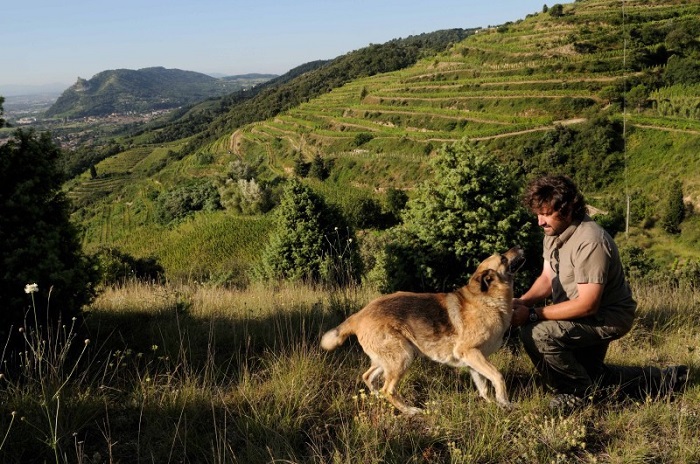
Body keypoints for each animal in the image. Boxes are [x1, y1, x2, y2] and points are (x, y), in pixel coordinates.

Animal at [320, 248, 524, 416]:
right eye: (503, 258)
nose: (520, 247)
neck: (488, 300)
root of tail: (359, 315)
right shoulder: (470, 353)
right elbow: (497, 377)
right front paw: (505, 403)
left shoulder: (473, 359)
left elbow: (484, 387)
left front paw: (493, 404)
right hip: (403, 356)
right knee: (388, 390)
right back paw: (410, 410)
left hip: (388, 359)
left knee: (368, 377)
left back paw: (379, 398)